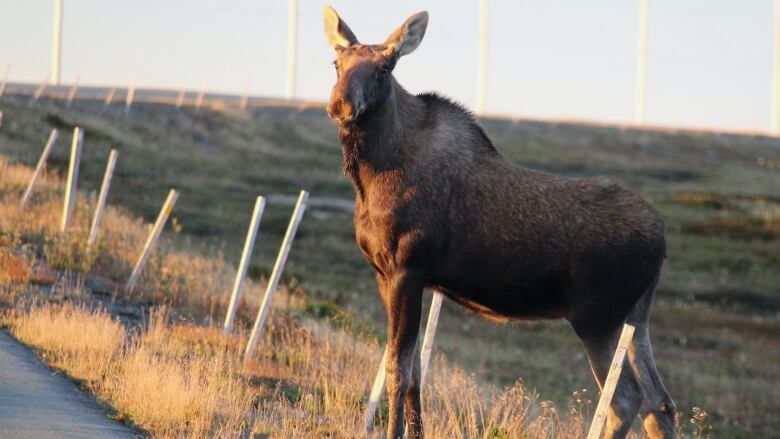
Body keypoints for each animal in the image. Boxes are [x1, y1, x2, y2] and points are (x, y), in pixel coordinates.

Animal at [322, 6, 676, 439]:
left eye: (385, 68)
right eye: (336, 63)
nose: (341, 104)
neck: (369, 176)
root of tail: (662, 242)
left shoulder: (407, 270)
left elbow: (398, 371)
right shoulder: (390, 275)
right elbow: (417, 371)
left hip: (598, 317)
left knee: (625, 399)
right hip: (636, 315)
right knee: (660, 402)